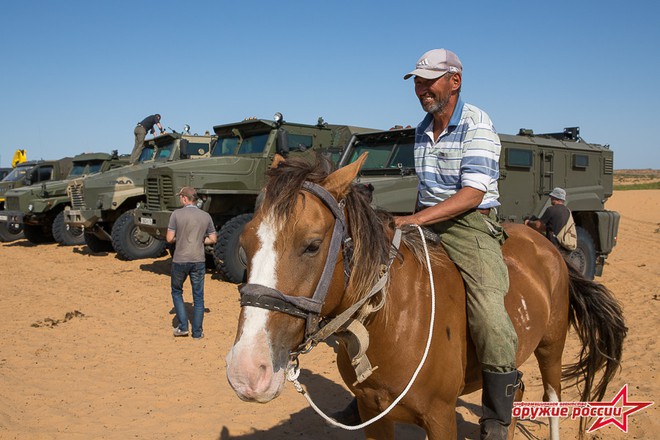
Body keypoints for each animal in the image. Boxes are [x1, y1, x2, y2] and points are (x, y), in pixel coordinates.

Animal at [226, 155, 624, 440]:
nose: (246, 371)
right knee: (517, 389)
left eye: (311, 245)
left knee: (552, 400)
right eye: (244, 246)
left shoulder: (441, 417)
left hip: (551, 346)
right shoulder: (374, 414)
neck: (394, 321)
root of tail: (548, 246)